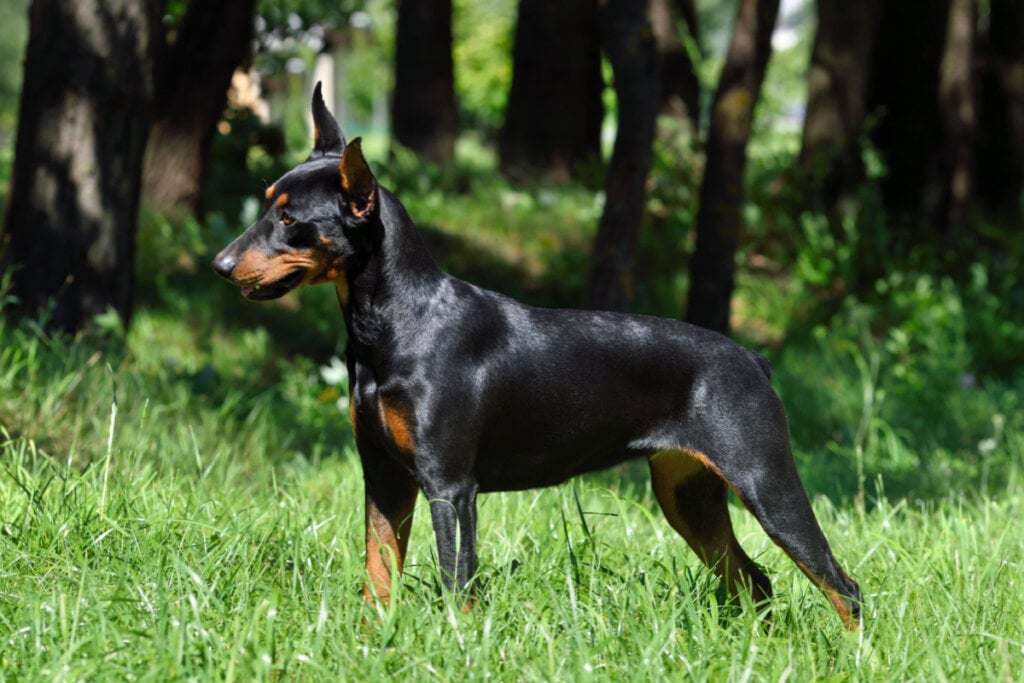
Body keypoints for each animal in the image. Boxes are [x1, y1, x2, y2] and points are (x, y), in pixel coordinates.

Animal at [216, 83, 864, 630]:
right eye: (268, 205)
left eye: (289, 218)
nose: (221, 265)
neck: (396, 326)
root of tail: (753, 360)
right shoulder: (383, 476)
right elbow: (378, 574)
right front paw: (373, 639)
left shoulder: (450, 486)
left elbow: (457, 583)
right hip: (688, 494)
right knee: (755, 580)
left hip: (764, 480)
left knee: (842, 585)